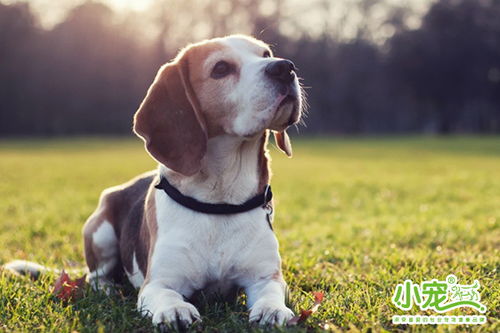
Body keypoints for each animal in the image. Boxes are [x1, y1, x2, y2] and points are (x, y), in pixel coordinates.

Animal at [84, 34, 302, 326]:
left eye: (266, 54)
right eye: (221, 68)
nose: (285, 67)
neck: (220, 202)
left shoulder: (265, 277)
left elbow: (271, 293)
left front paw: (272, 310)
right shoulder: (157, 283)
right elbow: (167, 296)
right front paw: (175, 310)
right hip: (101, 233)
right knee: (96, 276)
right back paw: (108, 289)